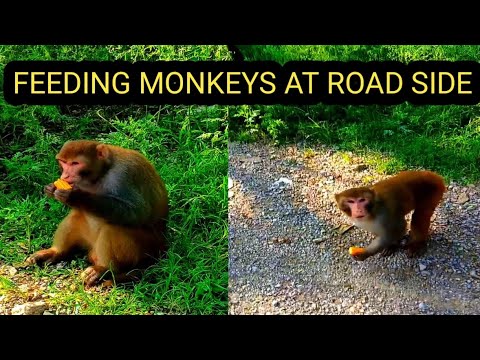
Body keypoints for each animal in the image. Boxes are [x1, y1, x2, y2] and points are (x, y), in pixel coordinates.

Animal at [26, 139, 170, 286]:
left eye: (75, 163)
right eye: (64, 162)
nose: (65, 175)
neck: (102, 173)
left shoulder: (123, 175)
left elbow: (138, 213)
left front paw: (76, 196)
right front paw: (50, 189)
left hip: (144, 249)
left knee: (112, 227)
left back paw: (103, 268)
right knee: (77, 215)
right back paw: (55, 252)